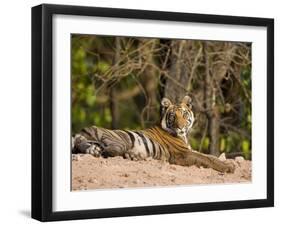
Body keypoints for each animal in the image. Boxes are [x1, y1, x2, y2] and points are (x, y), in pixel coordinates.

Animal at [71, 94, 234, 172]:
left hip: (90, 142)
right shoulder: (182, 154)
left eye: (184, 114)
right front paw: (228, 167)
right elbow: (207, 159)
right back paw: (132, 155)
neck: (183, 136)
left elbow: (209, 156)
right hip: (121, 140)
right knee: (110, 151)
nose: (181, 127)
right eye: (173, 116)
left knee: (88, 147)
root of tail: (85, 129)